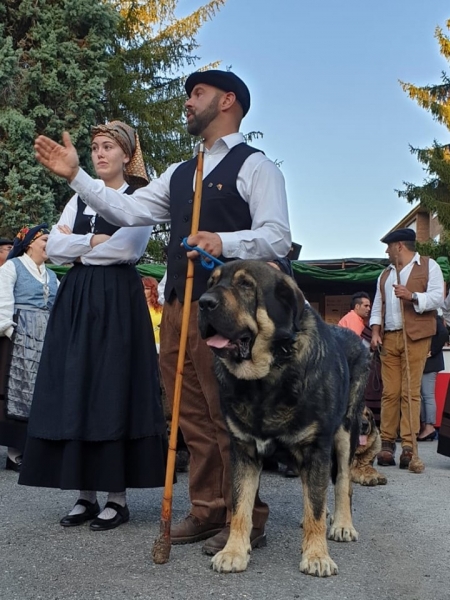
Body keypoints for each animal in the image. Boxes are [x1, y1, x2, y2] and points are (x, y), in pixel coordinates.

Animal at [200, 262, 370, 576]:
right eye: (211, 283)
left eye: (246, 286)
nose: (204, 303)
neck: (264, 380)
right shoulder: (243, 450)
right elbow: (240, 505)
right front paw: (233, 551)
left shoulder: (316, 447)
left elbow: (318, 499)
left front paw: (316, 555)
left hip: (346, 431)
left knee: (342, 482)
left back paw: (342, 524)